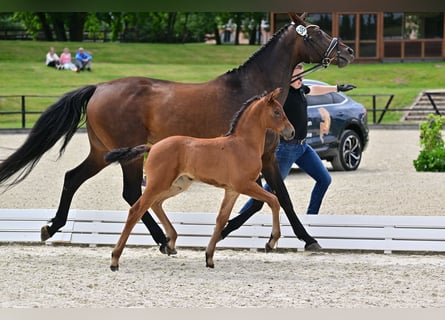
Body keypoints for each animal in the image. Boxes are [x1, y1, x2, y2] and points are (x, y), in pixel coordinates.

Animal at [105, 87, 294, 270]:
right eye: (277, 112)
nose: (291, 132)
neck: (243, 144)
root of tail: (153, 147)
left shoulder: (232, 190)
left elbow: (221, 219)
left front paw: (209, 257)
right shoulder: (245, 185)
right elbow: (274, 200)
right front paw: (271, 242)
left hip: (176, 185)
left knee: (156, 204)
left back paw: (170, 243)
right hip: (158, 184)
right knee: (136, 210)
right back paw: (115, 260)